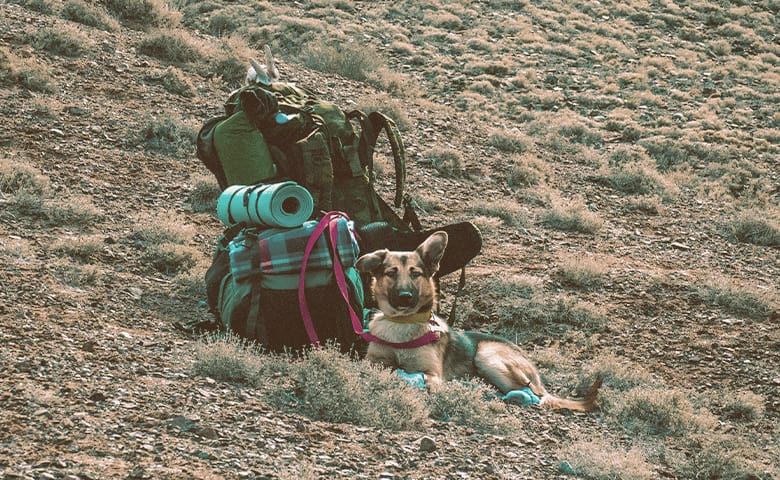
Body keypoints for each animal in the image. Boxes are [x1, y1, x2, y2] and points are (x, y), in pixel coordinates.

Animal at [356, 231, 600, 410]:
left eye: (416, 274)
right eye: (391, 273)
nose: (405, 297)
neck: (402, 325)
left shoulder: (432, 373)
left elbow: (423, 379)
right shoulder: (374, 360)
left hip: (487, 356)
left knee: (534, 395)